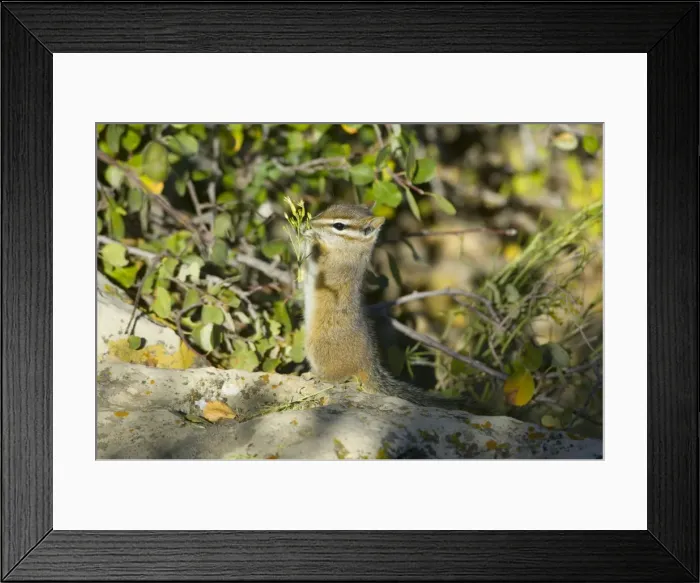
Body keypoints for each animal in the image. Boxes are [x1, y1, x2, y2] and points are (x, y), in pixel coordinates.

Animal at [302, 203, 468, 410]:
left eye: (339, 225)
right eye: (329, 208)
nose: (311, 221)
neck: (350, 249)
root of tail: (367, 365)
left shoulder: (334, 267)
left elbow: (318, 260)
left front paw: (311, 237)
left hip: (317, 348)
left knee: (339, 378)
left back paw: (315, 376)